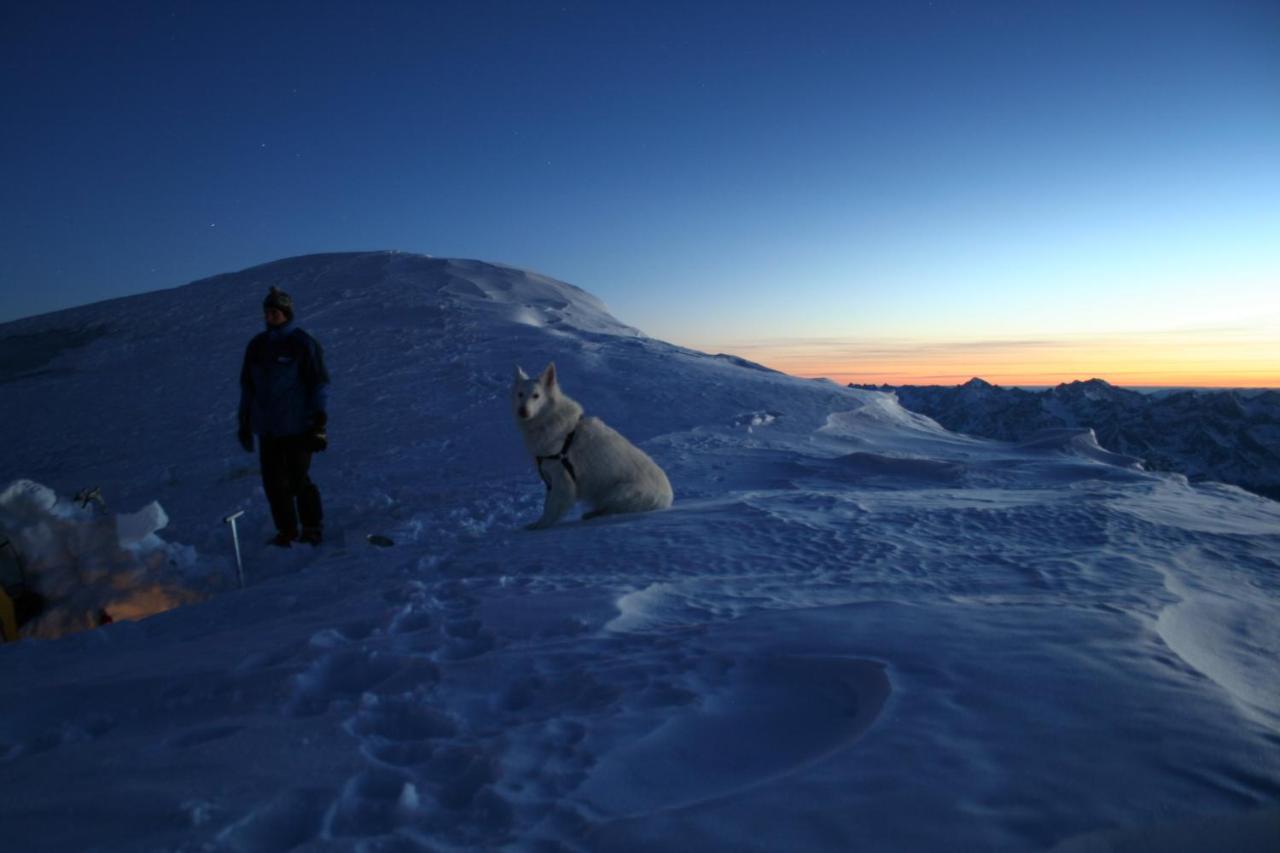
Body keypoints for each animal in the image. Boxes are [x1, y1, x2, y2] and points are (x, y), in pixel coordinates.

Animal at [509, 361, 675, 527]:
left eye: (536, 396)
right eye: (520, 394)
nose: (522, 411)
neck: (549, 421)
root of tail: (668, 497)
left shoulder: (562, 481)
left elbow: (550, 509)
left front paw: (538, 526)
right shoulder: (551, 481)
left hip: (619, 492)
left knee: (611, 509)